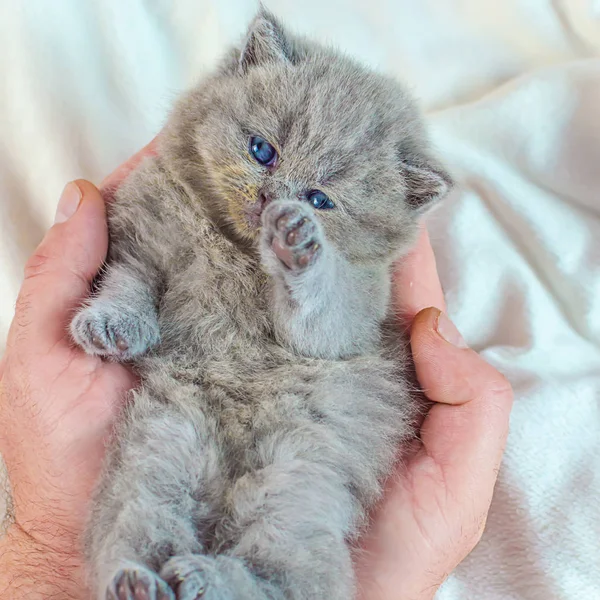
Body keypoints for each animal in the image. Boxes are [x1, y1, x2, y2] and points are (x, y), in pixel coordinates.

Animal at [71, 9, 450, 600]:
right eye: (261, 151)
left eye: (319, 199)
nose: (275, 201)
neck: (233, 247)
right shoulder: (139, 242)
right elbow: (128, 285)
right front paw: (112, 325)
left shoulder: (353, 313)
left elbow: (320, 310)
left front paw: (299, 243)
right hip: (165, 441)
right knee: (142, 518)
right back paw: (141, 582)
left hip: (296, 476)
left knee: (295, 573)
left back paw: (206, 578)